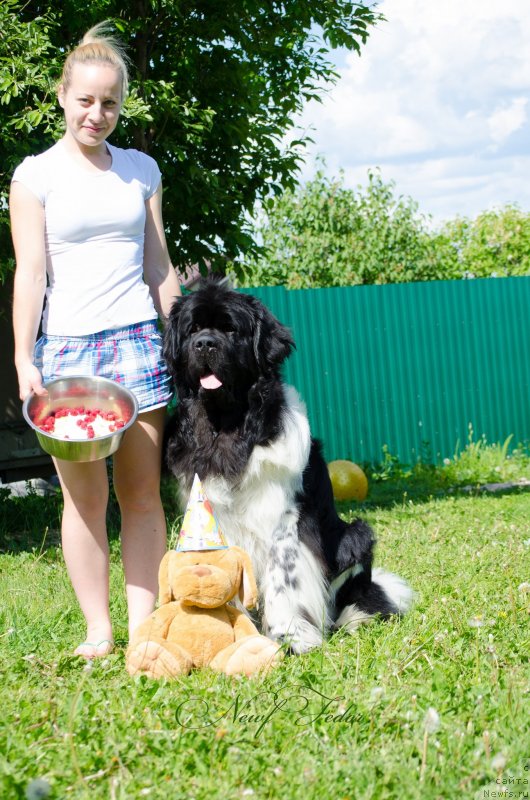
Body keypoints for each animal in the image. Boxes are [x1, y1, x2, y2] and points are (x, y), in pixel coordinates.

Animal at [163, 278, 410, 652]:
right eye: (193, 329)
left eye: (231, 330)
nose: (204, 343)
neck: (228, 424)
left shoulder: (285, 517)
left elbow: (284, 577)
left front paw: (288, 636)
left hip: (356, 535)